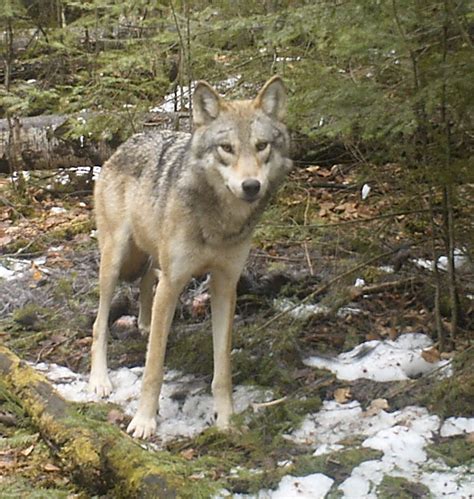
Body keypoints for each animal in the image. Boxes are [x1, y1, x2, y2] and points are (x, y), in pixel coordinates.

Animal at [87, 76, 290, 440]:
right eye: (226, 148)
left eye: (262, 145)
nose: (251, 186)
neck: (220, 222)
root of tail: (127, 142)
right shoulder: (174, 283)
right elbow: (153, 367)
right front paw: (144, 421)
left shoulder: (225, 285)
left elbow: (222, 367)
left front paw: (226, 420)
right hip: (114, 261)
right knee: (99, 323)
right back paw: (99, 380)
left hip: (154, 256)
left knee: (146, 280)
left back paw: (144, 323)